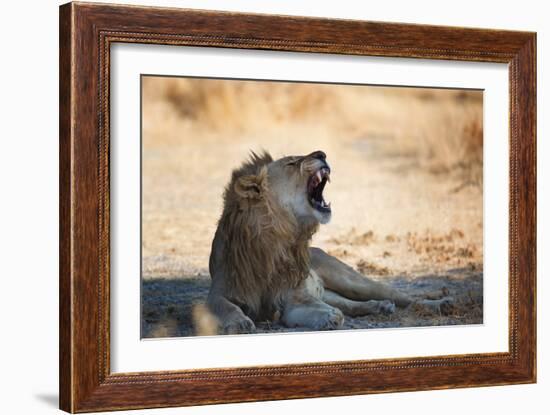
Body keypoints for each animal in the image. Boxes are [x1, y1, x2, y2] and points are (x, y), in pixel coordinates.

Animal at [207, 150, 452, 334]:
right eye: (291, 163)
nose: (321, 153)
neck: (276, 239)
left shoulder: (294, 297)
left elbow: (310, 307)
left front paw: (328, 315)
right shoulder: (219, 291)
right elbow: (223, 306)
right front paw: (239, 322)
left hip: (353, 281)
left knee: (404, 297)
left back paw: (440, 304)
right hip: (333, 292)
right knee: (353, 305)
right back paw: (380, 307)